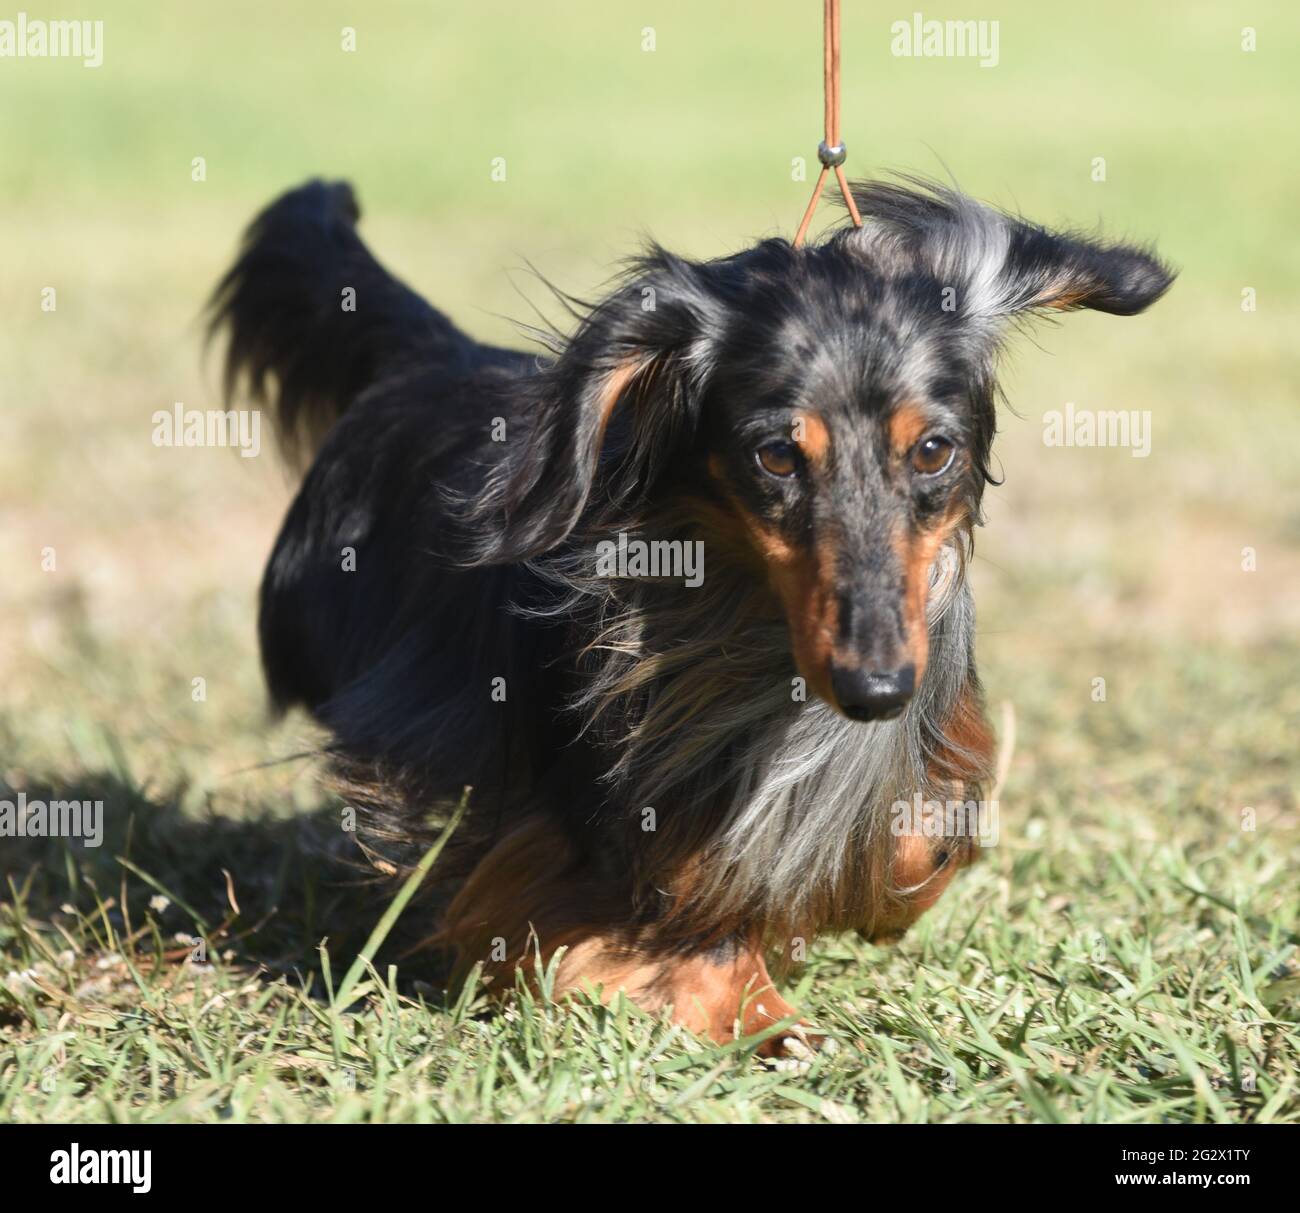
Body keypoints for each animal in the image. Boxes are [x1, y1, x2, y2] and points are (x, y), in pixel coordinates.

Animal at [210, 179, 1170, 1050]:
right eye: (776, 454)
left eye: (933, 449)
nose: (876, 688)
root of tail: (431, 358)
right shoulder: (583, 798)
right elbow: (672, 897)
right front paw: (753, 1010)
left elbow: (924, 834)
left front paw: (873, 900)